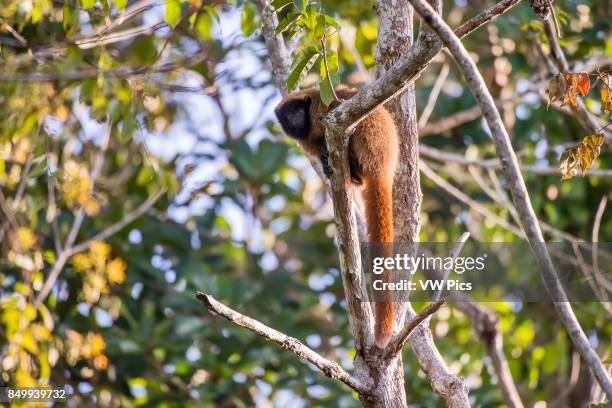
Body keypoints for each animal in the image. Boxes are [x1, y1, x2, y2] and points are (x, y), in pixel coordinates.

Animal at [274, 87, 400, 348]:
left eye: (298, 111)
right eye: (288, 115)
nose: (294, 119)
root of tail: (384, 168)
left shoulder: (320, 108)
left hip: (369, 137)